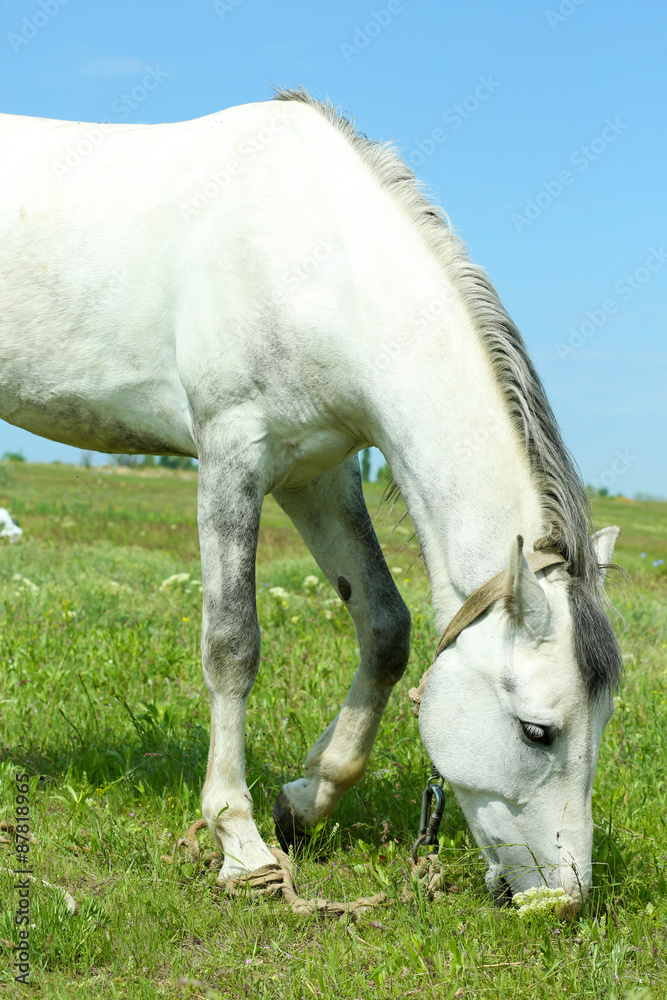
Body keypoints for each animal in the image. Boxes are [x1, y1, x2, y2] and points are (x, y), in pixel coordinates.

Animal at [0, 88, 622, 911]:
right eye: (536, 732)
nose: (564, 898)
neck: (322, 262)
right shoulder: (231, 452)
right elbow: (232, 644)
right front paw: (239, 843)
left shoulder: (317, 473)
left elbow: (385, 627)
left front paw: (306, 799)